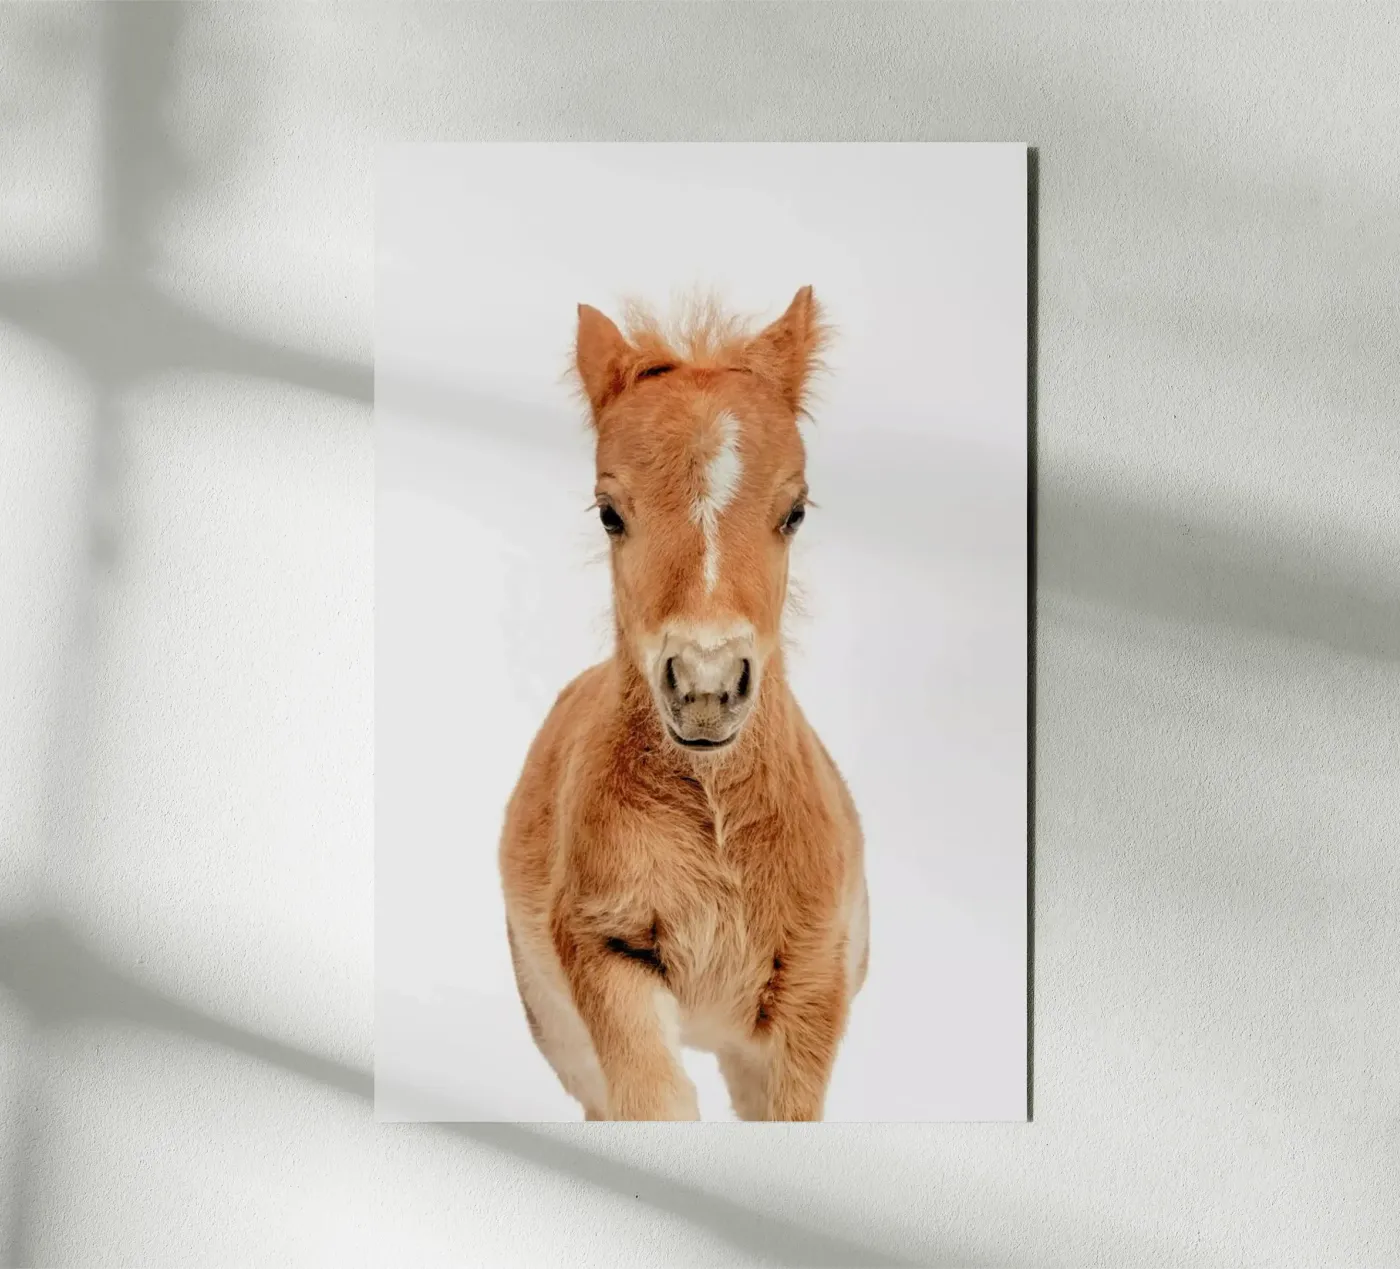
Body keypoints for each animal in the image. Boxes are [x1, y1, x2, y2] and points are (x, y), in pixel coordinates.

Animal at [498, 287, 868, 1121]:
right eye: (609, 511)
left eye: (795, 510)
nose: (704, 686)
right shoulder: (604, 948)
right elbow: (654, 1101)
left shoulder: (811, 991)